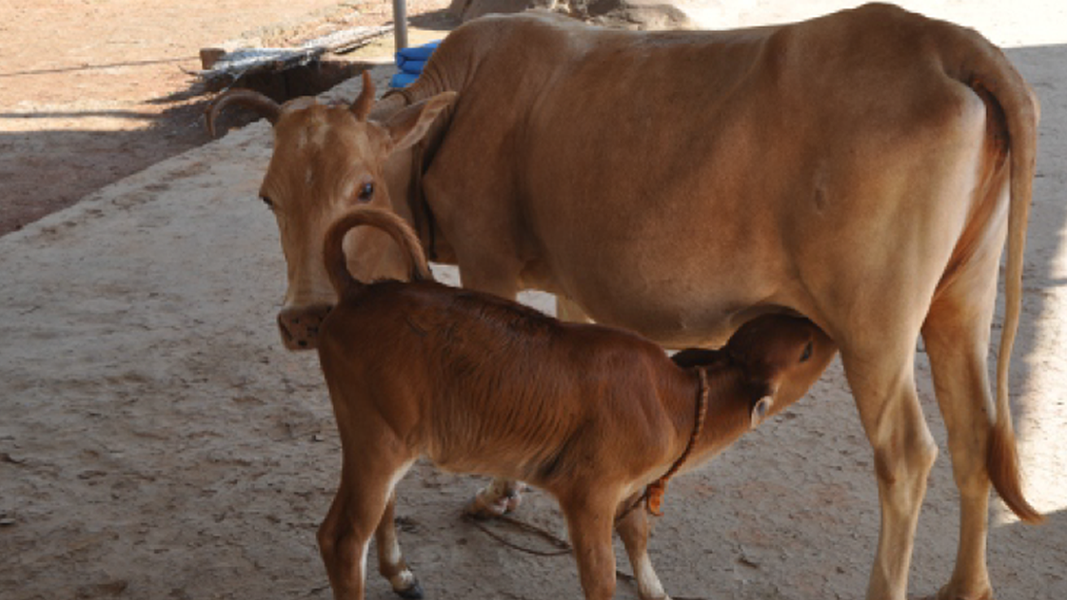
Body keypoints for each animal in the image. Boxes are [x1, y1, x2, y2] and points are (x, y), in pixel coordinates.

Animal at [311, 207, 827, 597]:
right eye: (805, 350)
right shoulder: (588, 492)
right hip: (377, 438)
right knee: (341, 538)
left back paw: (402, 575)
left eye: (786, 324)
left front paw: (656, 590)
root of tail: (360, 291)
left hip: (385, 437)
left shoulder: (630, 488)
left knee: (381, 509)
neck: (673, 403)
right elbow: (601, 578)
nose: (820, 326)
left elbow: (638, 536)